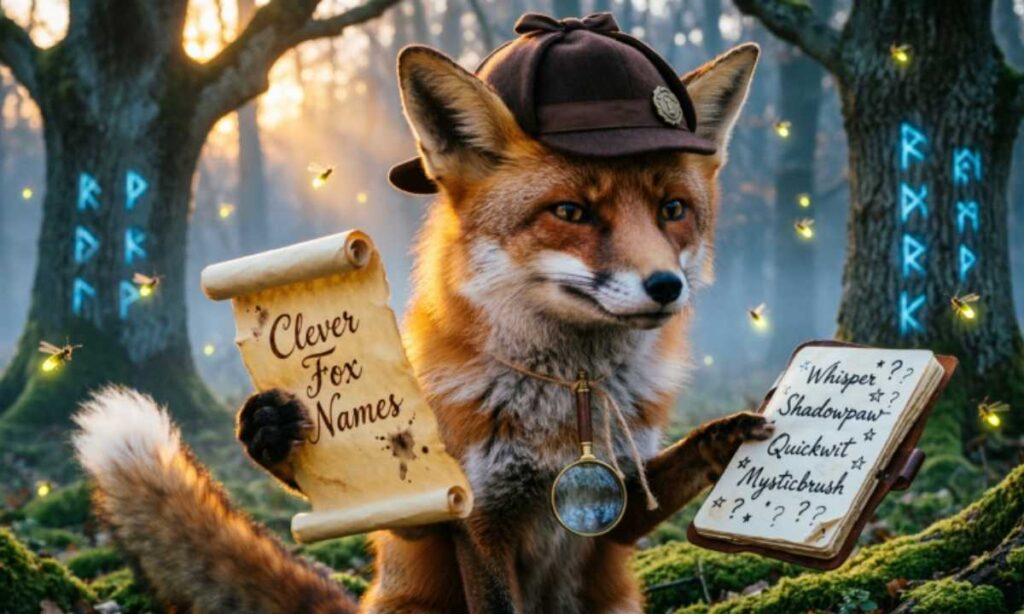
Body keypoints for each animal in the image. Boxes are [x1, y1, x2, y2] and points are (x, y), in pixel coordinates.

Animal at [72, 39, 768, 613]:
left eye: (672, 210)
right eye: (571, 212)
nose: (667, 287)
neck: (567, 400)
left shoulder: (620, 502)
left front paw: (732, 437)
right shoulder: (468, 514)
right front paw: (270, 432)